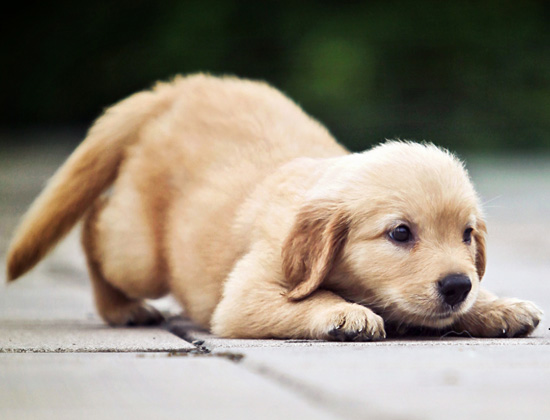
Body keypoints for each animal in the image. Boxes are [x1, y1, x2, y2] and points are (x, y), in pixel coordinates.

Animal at [6, 74, 544, 340]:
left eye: (468, 235)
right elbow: (314, 299)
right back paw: (122, 308)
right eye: (400, 234)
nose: (455, 285)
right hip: (140, 255)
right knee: (94, 228)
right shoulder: (246, 295)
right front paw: (344, 314)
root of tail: (178, 87)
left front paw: (498, 305)